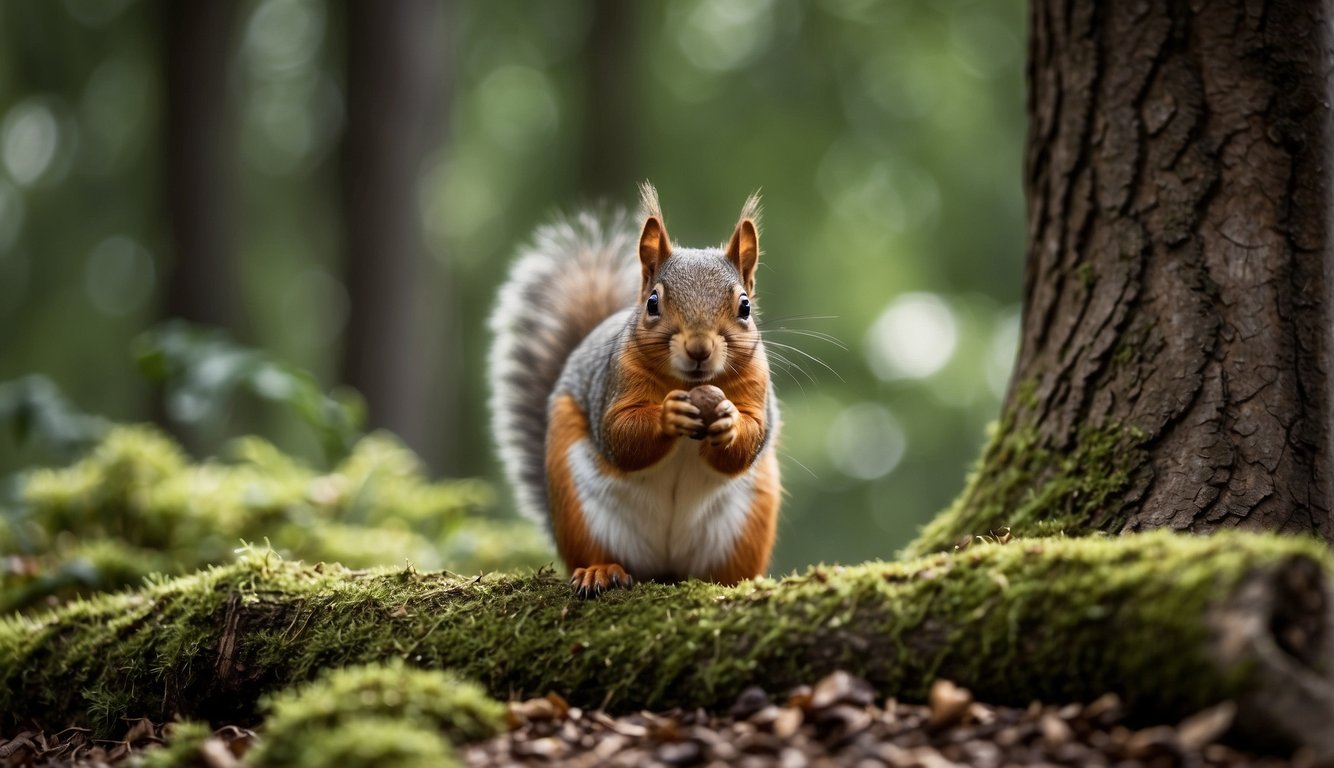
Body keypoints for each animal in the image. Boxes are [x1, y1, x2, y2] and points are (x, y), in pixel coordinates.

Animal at [490, 182, 779, 597]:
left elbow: (749, 439)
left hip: (747, 525)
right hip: (578, 507)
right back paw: (599, 571)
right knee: (596, 551)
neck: (689, 383)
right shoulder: (614, 383)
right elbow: (620, 434)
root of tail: (665, 564)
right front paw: (668, 415)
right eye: (653, 302)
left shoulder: (758, 385)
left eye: (745, 307)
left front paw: (727, 419)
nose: (699, 349)